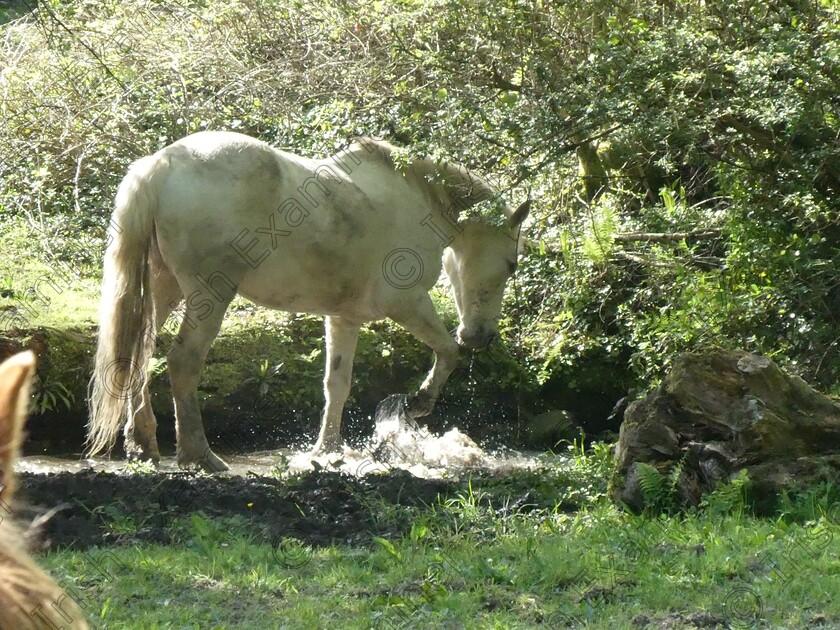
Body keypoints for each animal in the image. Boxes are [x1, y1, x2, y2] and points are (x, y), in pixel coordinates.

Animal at [87, 132, 532, 474]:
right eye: (512, 265)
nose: (481, 337)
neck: (417, 201)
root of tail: (160, 164)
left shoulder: (345, 319)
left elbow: (337, 385)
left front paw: (328, 451)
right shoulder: (407, 303)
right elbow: (447, 351)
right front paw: (419, 402)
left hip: (163, 291)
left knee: (139, 355)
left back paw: (143, 444)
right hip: (208, 296)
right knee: (183, 363)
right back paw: (199, 455)